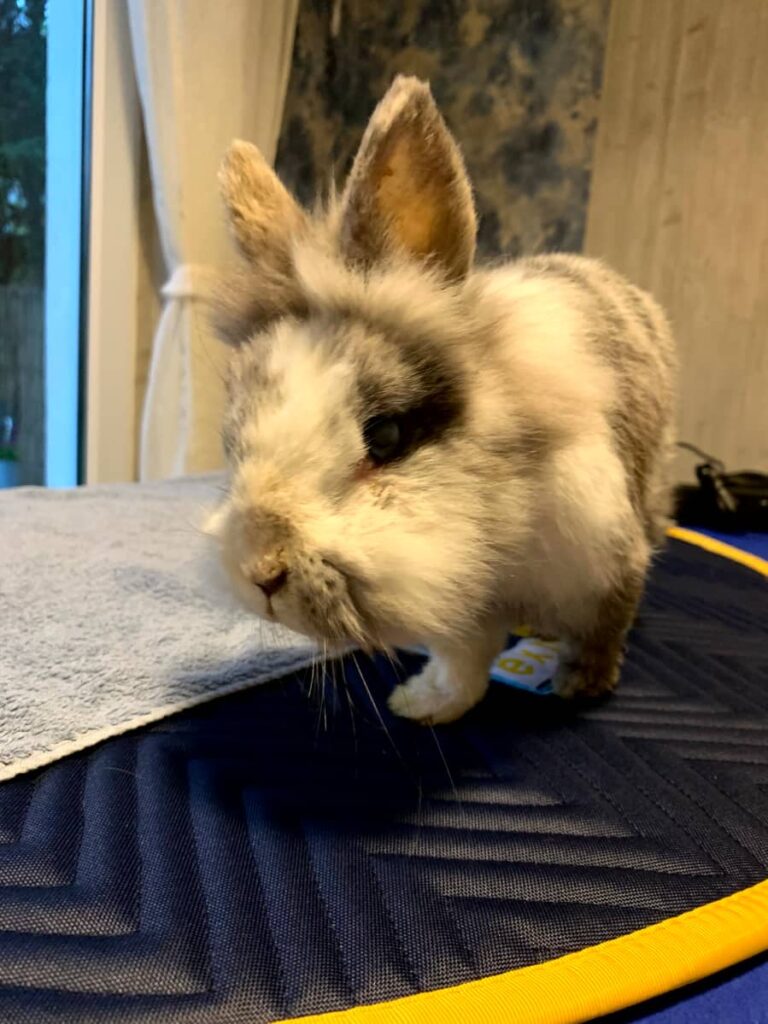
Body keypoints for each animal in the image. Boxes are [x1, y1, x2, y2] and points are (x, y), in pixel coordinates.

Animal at [206, 75, 677, 725]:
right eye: (233, 442)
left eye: (386, 437)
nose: (260, 572)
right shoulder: (465, 609)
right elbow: (463, 663)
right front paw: (422, 705)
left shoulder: (601, 562)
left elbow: (604, 624)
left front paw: (582, 685)